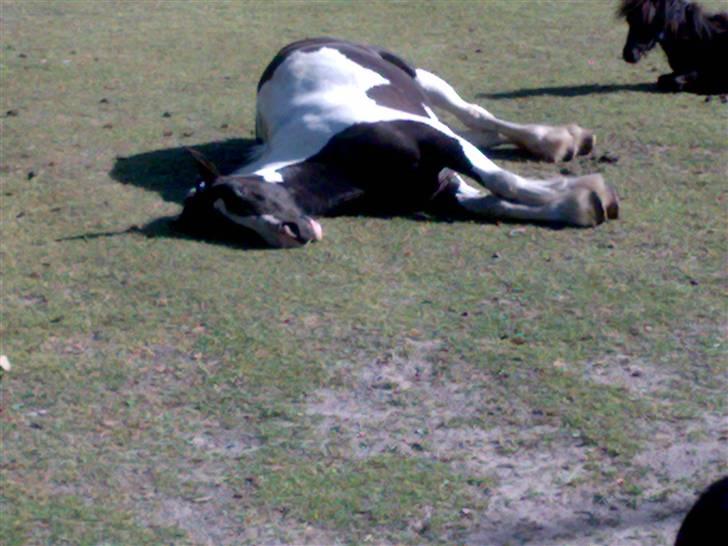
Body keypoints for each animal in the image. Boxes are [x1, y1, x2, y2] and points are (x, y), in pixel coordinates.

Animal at [179, 38, 616, 249]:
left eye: (241, 196)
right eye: (225, 228)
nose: (290, 234)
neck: (334, 156)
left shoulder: (436, 140)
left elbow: (500, 181)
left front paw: (590, 191)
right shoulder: (437, 188)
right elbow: (493, 203)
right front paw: (580, 202)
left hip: (425, 80)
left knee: (475, 115)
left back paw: (559, 140)